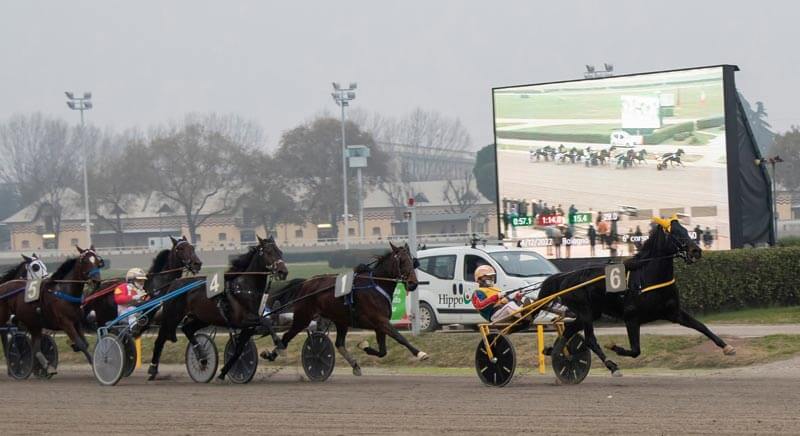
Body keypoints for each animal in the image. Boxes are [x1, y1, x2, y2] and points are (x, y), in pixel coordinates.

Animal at [0, 245, 105, 374]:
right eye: (85, 261)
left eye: (98, 262)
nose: (96, 281)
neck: (63, 292)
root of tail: (3, 286)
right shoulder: (65, 323)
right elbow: (81, 344)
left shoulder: (76, 322)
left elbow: (85, 343)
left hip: (33, 323)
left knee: (35, 348)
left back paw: (46, 366)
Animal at [147, 235, 288, 382]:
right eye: (268, 252)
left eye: (280, 252)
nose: (283, 272)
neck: (244, 289)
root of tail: (174, 283)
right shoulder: (242, 321)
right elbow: (267, 322)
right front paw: (279, 346)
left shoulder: (249, 327)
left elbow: (238, 351)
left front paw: (223, 373)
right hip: (172, 316)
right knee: (160, 339)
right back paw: (153, 369)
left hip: (202, 318)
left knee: (187, 329)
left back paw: (202, 357)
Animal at [260, 244, 424, 376]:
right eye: (402, 261)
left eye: (413, 261)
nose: (413, 283)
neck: (376, 285)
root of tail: (306, 283)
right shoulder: (380, 320)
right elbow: (399, 337)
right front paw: (420, 353)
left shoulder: (380, 324)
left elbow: (383, 351)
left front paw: (364, 346)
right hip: (303, 317)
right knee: (286, 336)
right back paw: (272, 354)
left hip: (340, 320)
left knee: (339, 344)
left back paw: (355, 365)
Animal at [536, 216, 732, 376]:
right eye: (675, 233)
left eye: (686, 230)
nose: (696, 251)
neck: (648, 278)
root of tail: (565, 276)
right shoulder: (631, 317)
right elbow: (636, 350)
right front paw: (614, 347)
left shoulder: (673, 312)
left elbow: (701, 326)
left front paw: (727, 347)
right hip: (584, 310)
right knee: (590, 339)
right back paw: (611, 365)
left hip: (591, 312)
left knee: (569, 330)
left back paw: (554, 352)